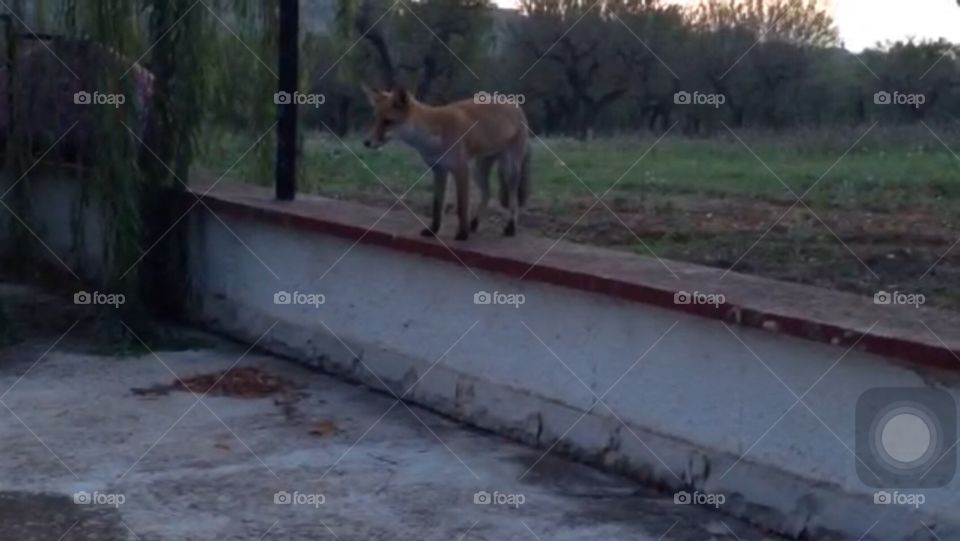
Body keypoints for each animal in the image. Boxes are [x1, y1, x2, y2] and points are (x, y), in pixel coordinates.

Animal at [362, 85, 531, 241]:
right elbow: (437, 206)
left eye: (388, 122)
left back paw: (510, 228)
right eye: (375, 119)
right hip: (478, 170)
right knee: (487, 195)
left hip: (509, 169)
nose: (366, 142)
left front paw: (462, 234)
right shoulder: (439, 170)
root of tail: (512, 102)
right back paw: (474, 223)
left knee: (513, 200)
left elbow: (462, 206)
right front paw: (433, 230)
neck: (433, 137)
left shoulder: (461, 169)